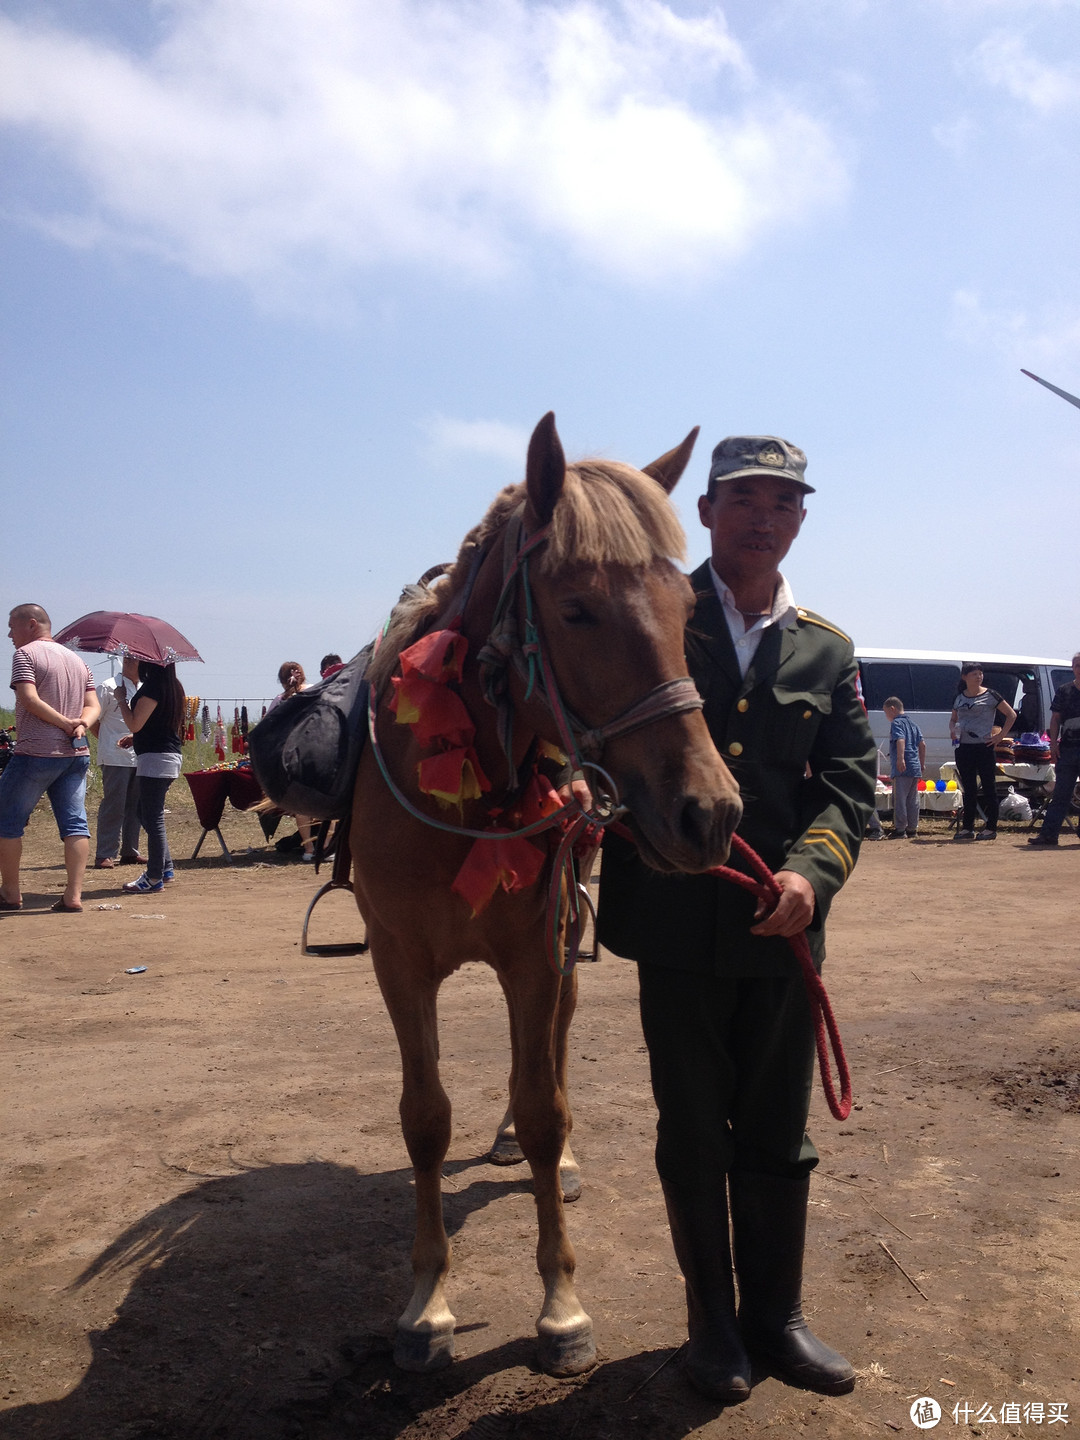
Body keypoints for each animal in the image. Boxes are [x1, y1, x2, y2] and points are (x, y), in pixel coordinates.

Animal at [352, 414, 743, 1370]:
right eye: (577, 609)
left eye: (686, 614)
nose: (712, 812)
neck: (457, 794)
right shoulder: (397, 963)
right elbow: (425, 1120)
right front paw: (426, 1304)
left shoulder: (535, 953)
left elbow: (543, 1111)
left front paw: (562, 1305)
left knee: (552, 1060)